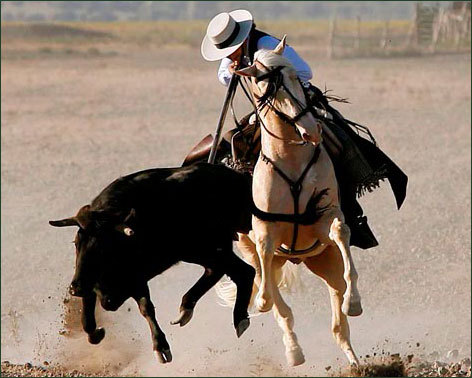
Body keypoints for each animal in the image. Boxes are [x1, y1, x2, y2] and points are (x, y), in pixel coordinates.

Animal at [49, 163, 256, 364]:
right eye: (76, 243)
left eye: (104, 247)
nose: (75, 288)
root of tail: (236, 178)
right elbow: (88, 316)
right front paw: (97, 333)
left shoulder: (135, 278)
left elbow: (145, 307)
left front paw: (161, 348)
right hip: (204, 250)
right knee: (231, 271)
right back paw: (193, 310)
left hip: (203, 248)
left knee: (242, 271)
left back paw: (234, 318)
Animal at [232, 36, 362, 366]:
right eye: (267, 88)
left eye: (294, 77)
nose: (312, 131)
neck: (289, 159)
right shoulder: (264, 231)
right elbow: (267, 281)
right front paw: (261, 302)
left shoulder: (325, 217)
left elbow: (340, 231)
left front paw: (354, 302)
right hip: (261, 254)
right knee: (275, 296)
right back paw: (294, 351)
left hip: (322, 258)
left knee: (337, 315)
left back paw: (355, 361)